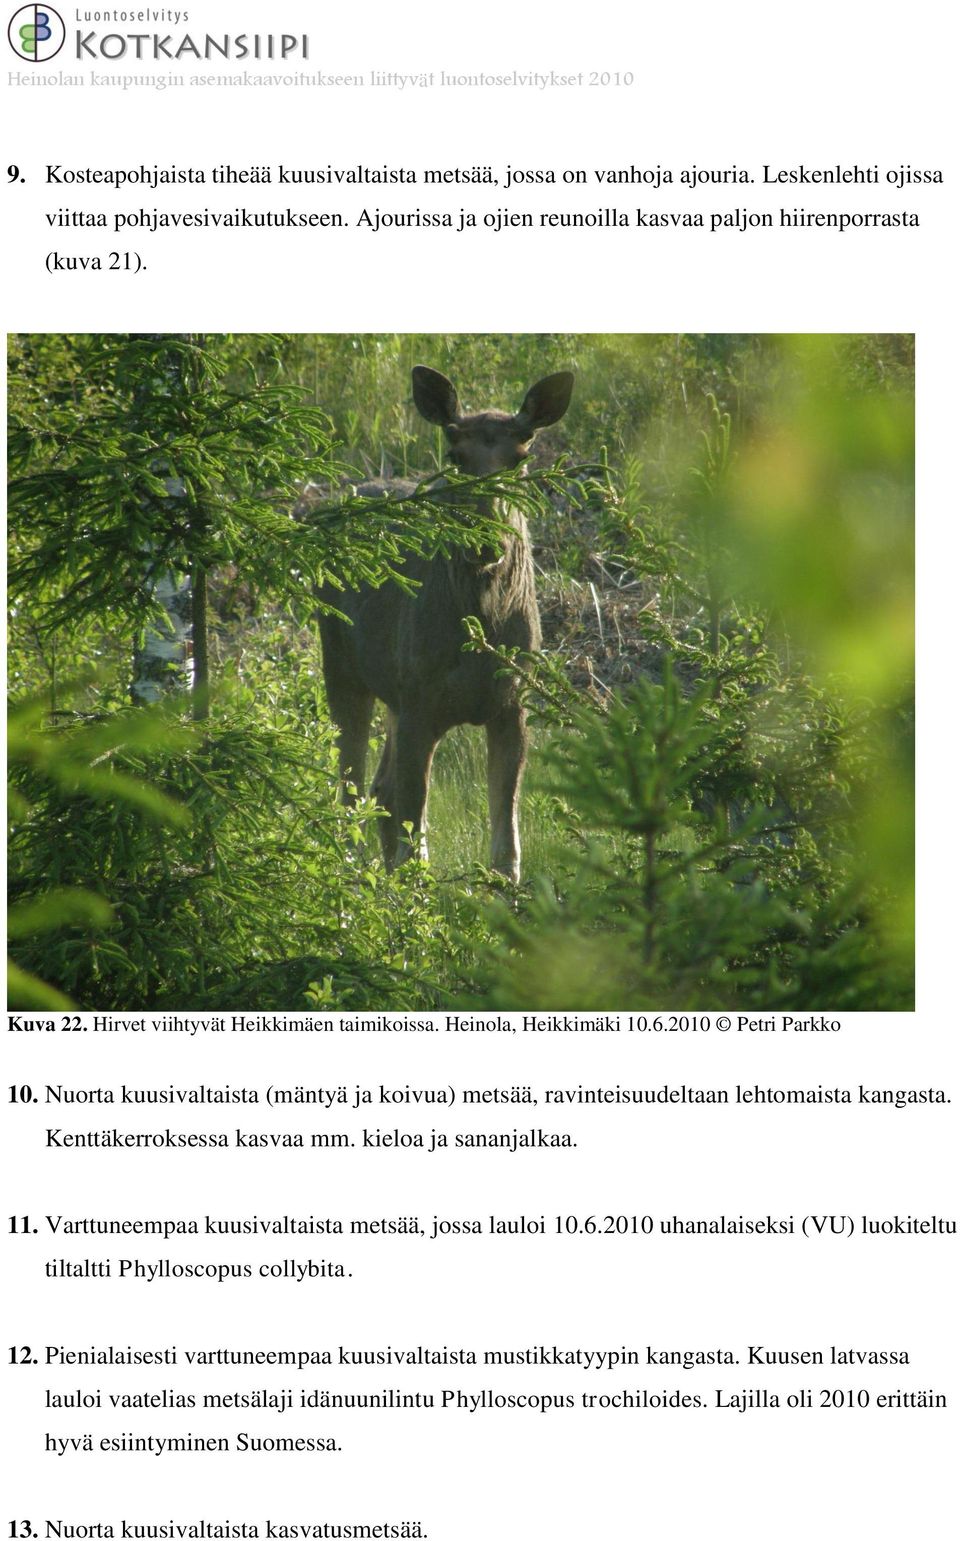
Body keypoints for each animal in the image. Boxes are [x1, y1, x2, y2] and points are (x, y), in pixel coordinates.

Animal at [323, 362, 573, 887]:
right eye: (455, 455)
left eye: (520, 457)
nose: (484, 541)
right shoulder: (420, 703)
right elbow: (413, 847)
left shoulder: (512, 705)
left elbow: (506, 850)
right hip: (345, 671)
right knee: (352, 791)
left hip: (395, 696)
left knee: (380, 790)